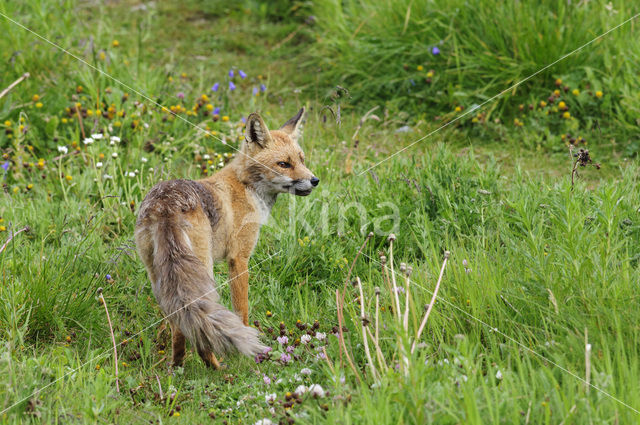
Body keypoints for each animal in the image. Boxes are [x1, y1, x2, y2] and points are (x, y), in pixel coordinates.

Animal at [134, 107, 318, 366]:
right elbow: (242, 311)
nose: (314, 180)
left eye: (301, 160)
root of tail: (165, 206)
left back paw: (178, 366)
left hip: (159, 277)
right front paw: (249, 357)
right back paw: (216, 367)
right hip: (204, 269)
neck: (245, 185)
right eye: (284, 164)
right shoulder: (239, 259)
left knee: (179, 325)